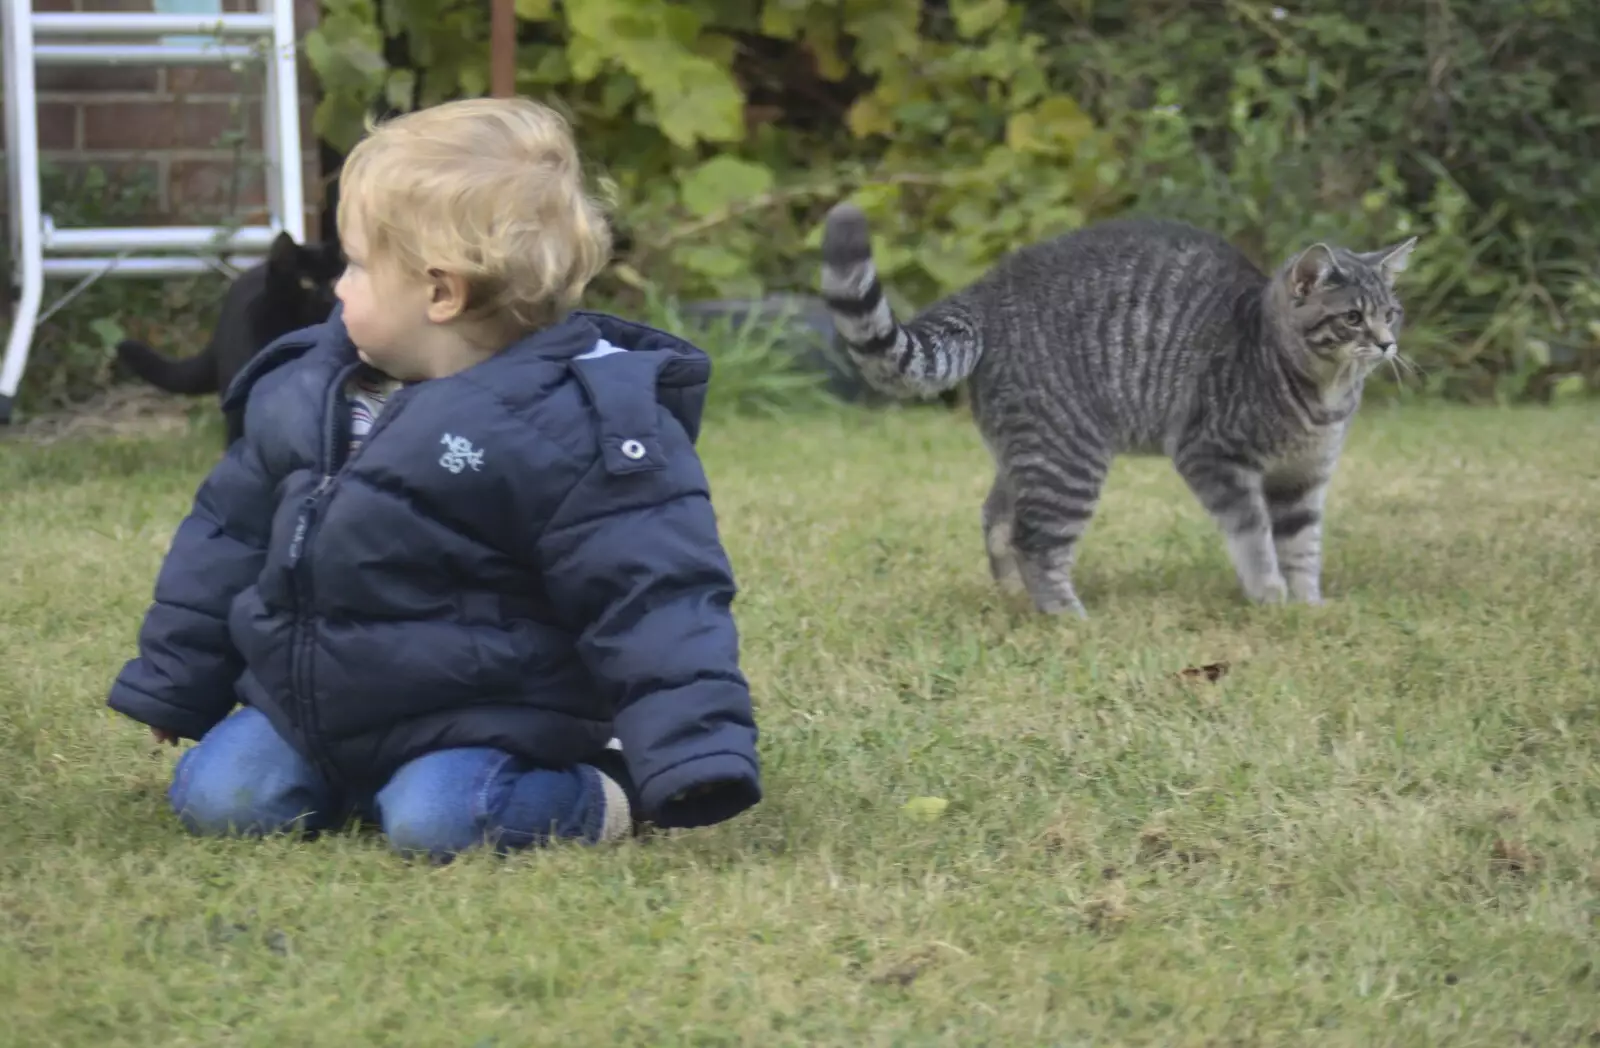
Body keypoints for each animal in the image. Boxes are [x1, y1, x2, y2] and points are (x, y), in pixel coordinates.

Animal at [819, 206, 1420, 617]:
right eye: (1352, 318)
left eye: (1392, 312)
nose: (1388, 344)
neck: (1321, 392)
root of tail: (989, 287)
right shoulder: (1212, 456)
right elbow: (1254, 537)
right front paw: (1270, 598)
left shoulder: (1304, 476)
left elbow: (1302, 545)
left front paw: (1308, 607)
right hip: (1069, 457)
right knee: (1035, 540)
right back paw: (1066, 617)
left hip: (1029, 451)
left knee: (997, 519)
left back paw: (1014, 596)